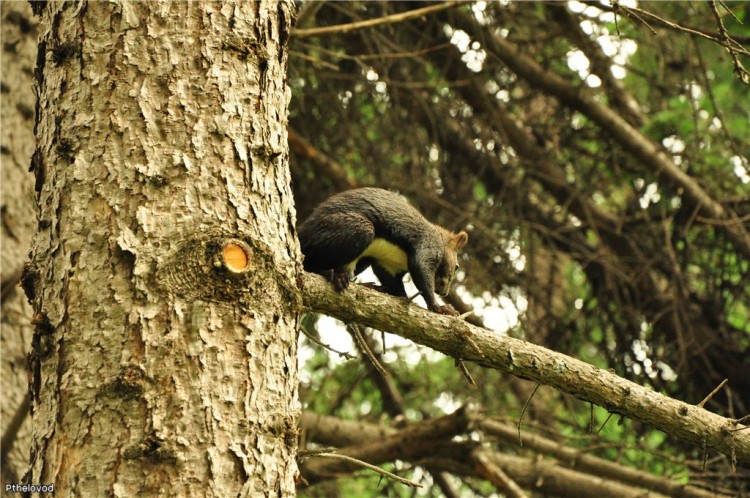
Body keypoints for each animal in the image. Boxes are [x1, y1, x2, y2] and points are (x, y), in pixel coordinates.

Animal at [296, 187, 468, 316]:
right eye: (457, 266)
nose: (444, 292)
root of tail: (301, 231)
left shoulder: (388, 264)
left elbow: (392, 282)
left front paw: (401, 296)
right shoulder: (429, 244)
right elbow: (421, 268)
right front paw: (439, 307)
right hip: (356, 229)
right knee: (309, 261)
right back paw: (327, 272)